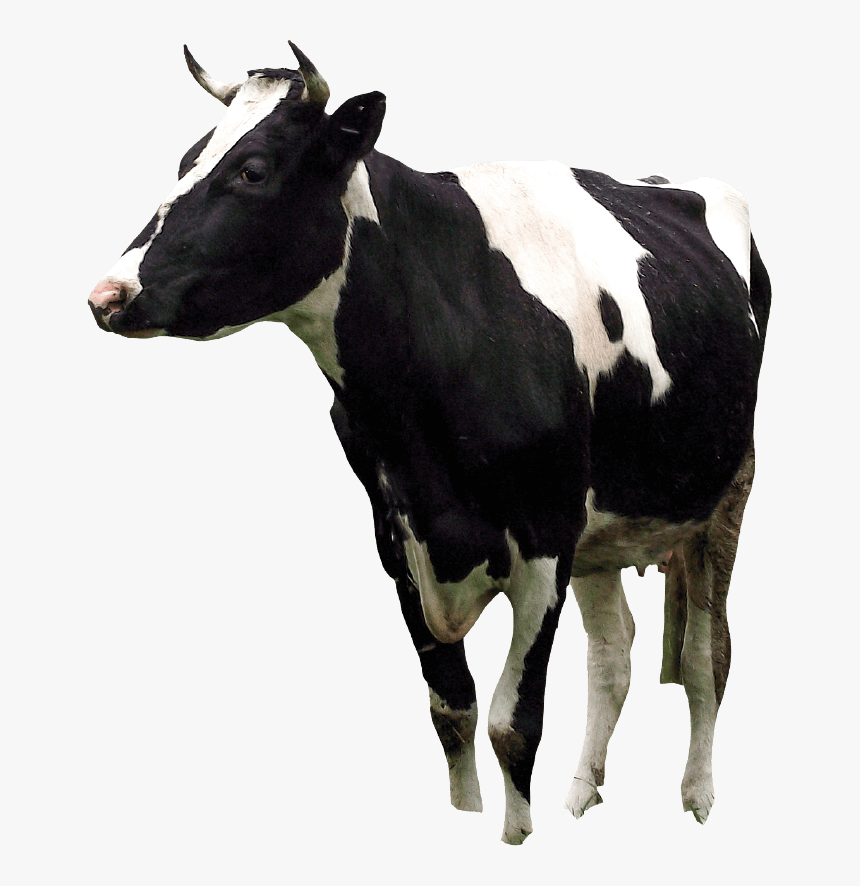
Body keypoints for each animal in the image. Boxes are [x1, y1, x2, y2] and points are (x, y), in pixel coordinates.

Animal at [88, 44, 770, 844]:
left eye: (252, 169)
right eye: (186, 160)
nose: (107, 295)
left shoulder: (544, 544)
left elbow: (513, 724)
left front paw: (516, 838)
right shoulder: (398, 539)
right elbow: (453, 711)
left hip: (727, 490)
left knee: (705, 653)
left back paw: (697, 795)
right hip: (605, 527)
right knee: (613, 654)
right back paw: (581, 794)